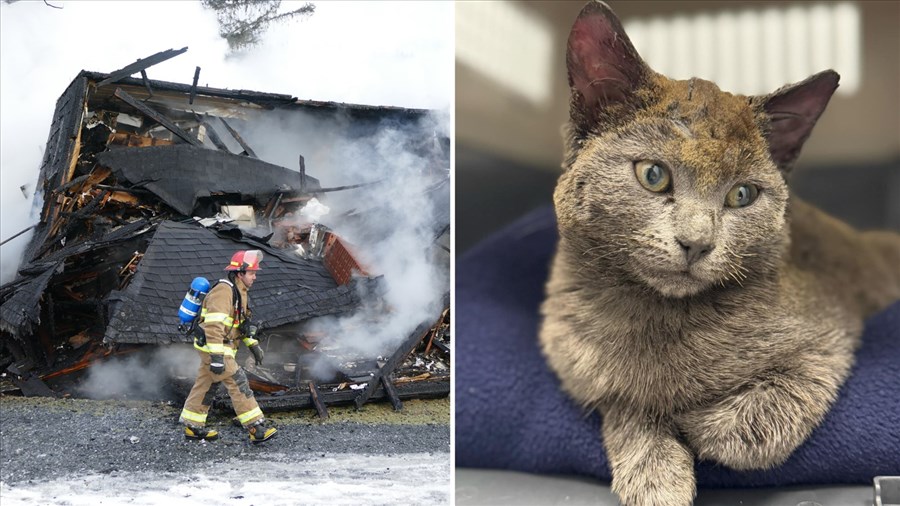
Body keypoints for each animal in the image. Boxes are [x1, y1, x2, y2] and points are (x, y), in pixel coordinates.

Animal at [536, 0, 900, 506]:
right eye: (653, 175)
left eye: (742, 195)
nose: (697, 242)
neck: (656, 317)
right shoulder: (581, 365)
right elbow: (626, 403)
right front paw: (654, 476)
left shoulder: (830, 333)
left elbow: (756, 420)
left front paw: (695, 422)